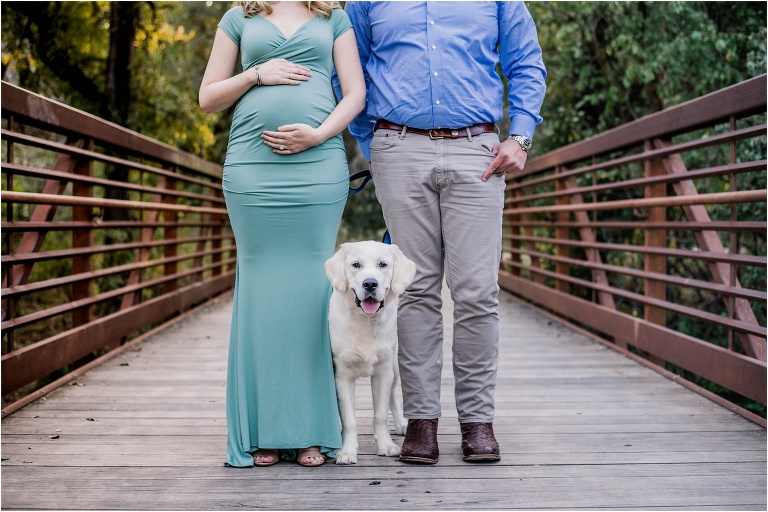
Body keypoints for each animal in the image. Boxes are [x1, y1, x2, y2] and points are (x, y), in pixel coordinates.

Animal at [326, 240, 416, 464]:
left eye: (383, 264)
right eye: (356, 265)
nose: (369, 284)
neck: (365, 323)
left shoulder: (384, 371)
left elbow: (380, 414)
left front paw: (386, 445)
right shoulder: (342, 375)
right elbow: (349, 419)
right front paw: (347, 451)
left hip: (394, 368)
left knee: (393, 397)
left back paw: (402, 424)